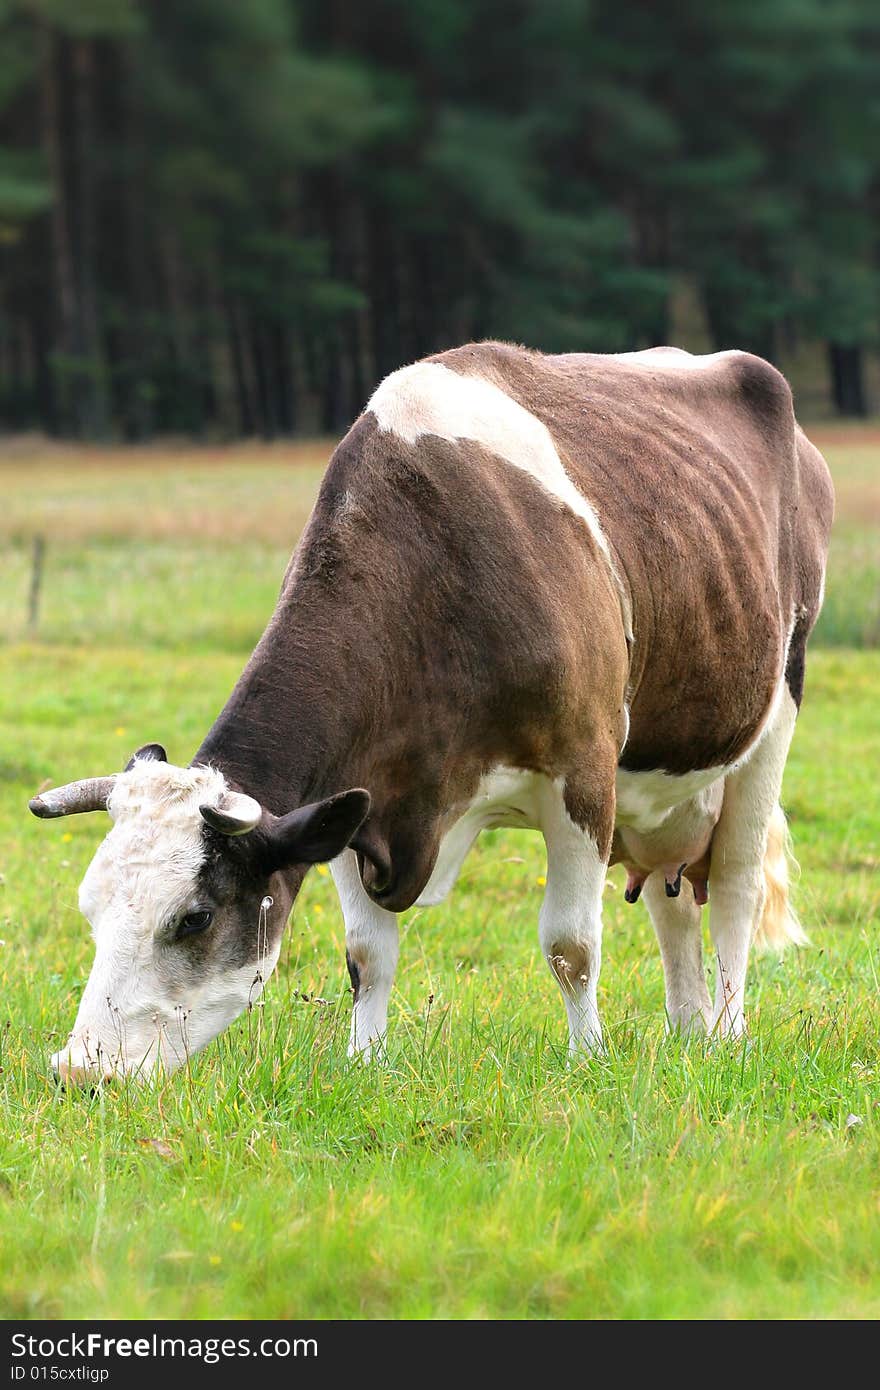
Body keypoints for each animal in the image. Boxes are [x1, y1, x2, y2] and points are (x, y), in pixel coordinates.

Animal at [29, 341, 828, 1078]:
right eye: (90, 907)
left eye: (193, 917)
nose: (81, 1070)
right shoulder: (356, 797)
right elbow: (366, 954)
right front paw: (365, 1061)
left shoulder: (582, 771)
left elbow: (570, 944)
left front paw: (587, 1060)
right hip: (668, 788)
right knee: (675, 902)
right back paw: (688, 1033)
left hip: (774, 716)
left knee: (734, 887)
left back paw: (727, 1033)